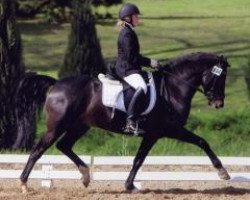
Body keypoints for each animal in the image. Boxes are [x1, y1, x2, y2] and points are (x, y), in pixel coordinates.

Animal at [18, 51, 230, 192]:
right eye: (220, 77)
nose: (219, 103)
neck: (173, 88)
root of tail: (56, 84)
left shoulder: (152, 135)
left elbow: (138, 159)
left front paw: (130, 185)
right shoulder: (172, 129)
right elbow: (202, 142)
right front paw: (222, 172)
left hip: (80, 126)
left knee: (64, 146)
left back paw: (85, 176)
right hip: (57, 126)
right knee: (38, 150)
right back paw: (24, 184)